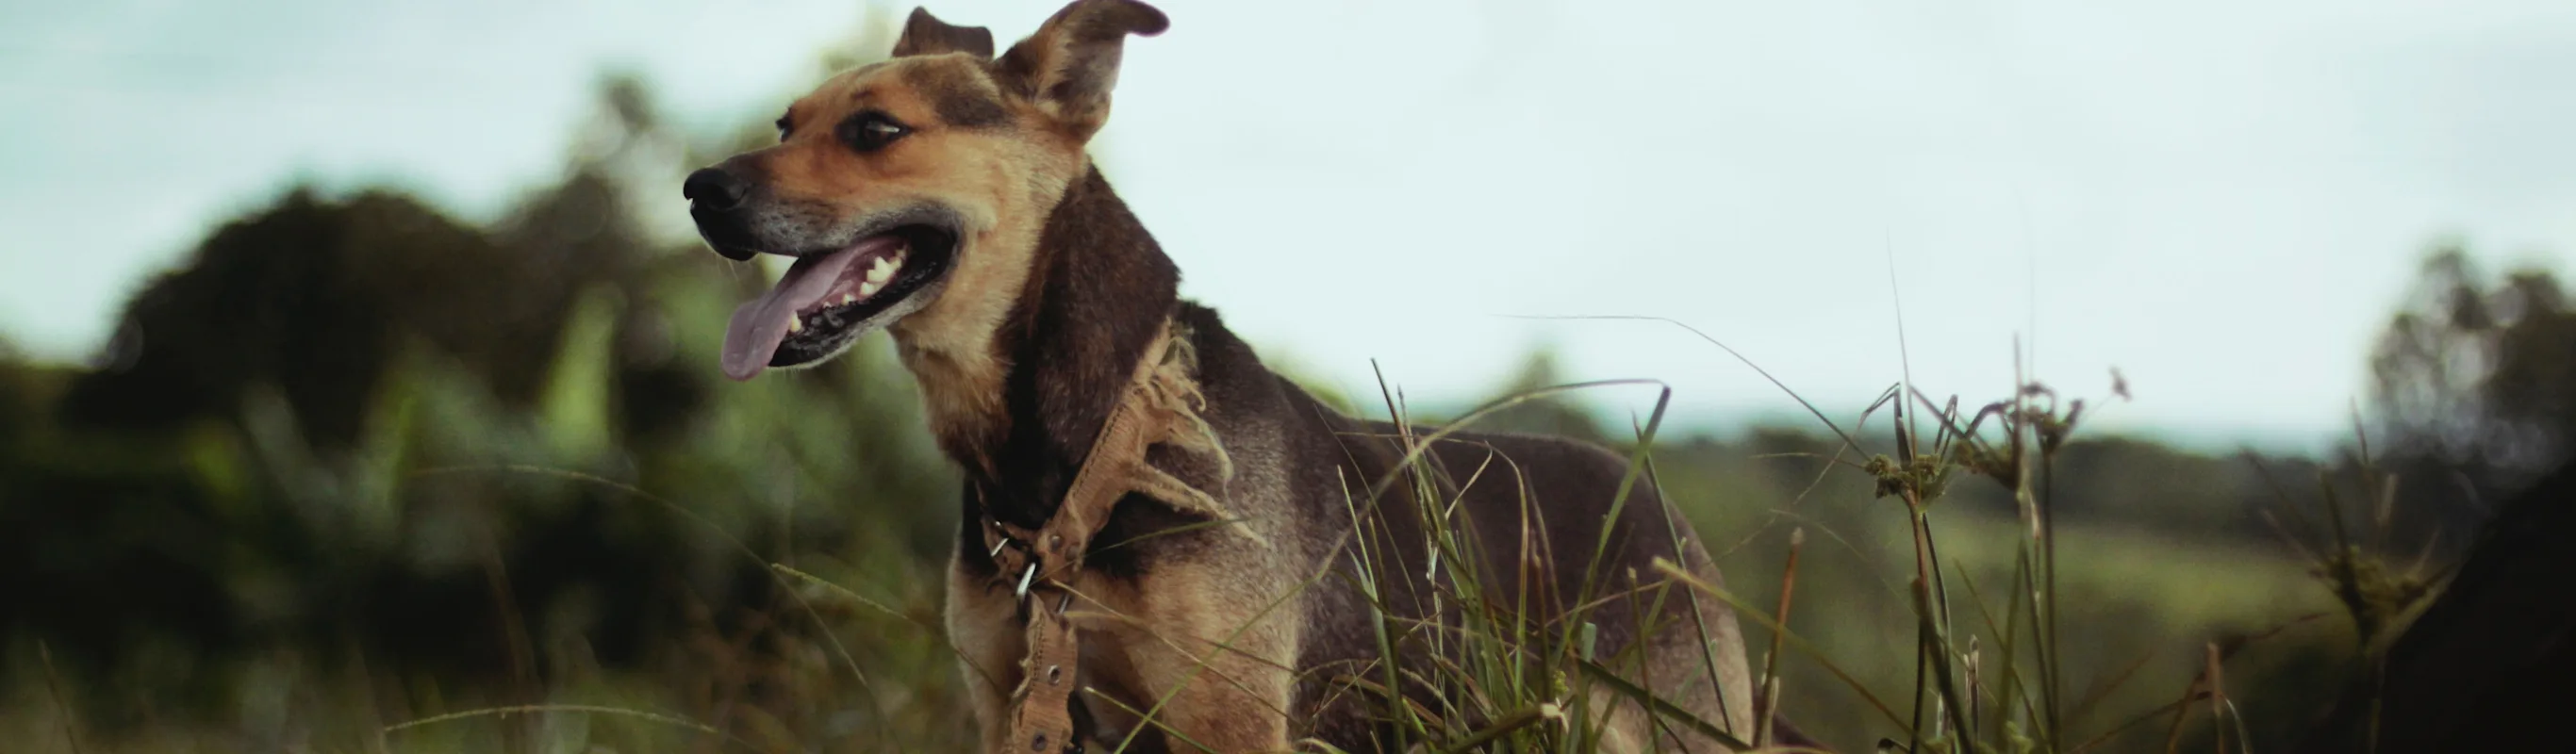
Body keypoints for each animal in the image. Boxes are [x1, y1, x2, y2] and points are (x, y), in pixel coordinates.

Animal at [680, 3, 1792, 746]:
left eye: (876, 130)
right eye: (785, 124)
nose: (697, 190)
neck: (1098, 438)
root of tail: (1655, 504)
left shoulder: (1225, 717)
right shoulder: (1009, 702)